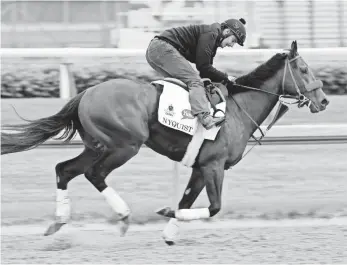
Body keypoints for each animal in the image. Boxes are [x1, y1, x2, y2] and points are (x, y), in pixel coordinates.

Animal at [1, 40, 330, 241]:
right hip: (124, 145)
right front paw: (167, 214)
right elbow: (214, 207)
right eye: (303, 69)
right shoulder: (214, 165)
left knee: (65, 170)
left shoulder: (201, 167)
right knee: (95, 174)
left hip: (95, 145)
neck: (238, 109)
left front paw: (170, 233)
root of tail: (85, 93)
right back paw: (123, 216)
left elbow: (187, 200)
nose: (324, 100)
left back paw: (58, 222)